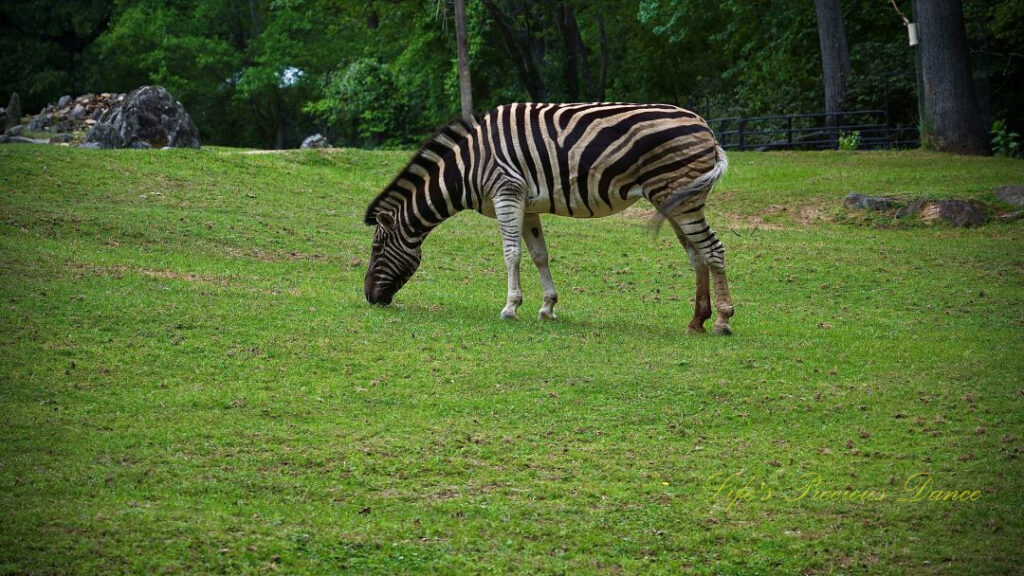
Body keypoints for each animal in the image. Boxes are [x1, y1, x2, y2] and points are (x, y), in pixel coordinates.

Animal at [364, 102, 733, 334]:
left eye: (376, 250)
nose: (369, 298)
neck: (469, 164)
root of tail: (706, 128)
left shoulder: (506, 192)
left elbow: (511, 254)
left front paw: (510, 308)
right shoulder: (527, 206)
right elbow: (539, 255)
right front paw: (547, 307)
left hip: (682, 196)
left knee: (713, 250)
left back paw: (722, 321)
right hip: (675, 199)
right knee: (697, 255)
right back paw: (697, 321)